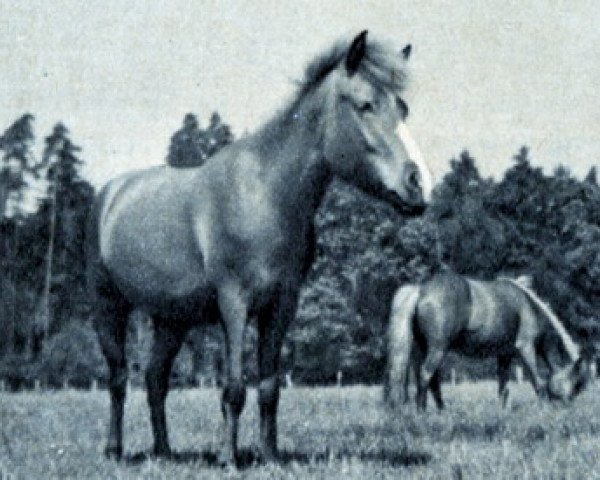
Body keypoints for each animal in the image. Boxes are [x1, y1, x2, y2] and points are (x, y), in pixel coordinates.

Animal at [86, 31, 434, 464]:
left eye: (402, 107)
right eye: (365, 104)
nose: (419, 185)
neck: (267, 193)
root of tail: (110, 193)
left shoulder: (282, 305)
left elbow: (269, 387)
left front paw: (270, 456)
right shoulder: (234, 303)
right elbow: (234, 388)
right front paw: (228, 458)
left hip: (171, 320)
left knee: (155, 380)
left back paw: (164, 452)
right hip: (108, 306)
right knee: (118, 378)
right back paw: (114, 449)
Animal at [384, 272, 592, 410]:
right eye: (577, 384)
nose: (569, 407)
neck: (529, 305)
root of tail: (421, 290)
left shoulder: (505, 355)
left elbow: (503, 386)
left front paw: (502, 410)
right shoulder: (526, 347)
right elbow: (537, 381)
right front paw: (543, 408)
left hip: (424, 348)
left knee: (432, 379)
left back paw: (441, 410)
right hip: (438, 348)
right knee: (426, 375)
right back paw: (422, 411)